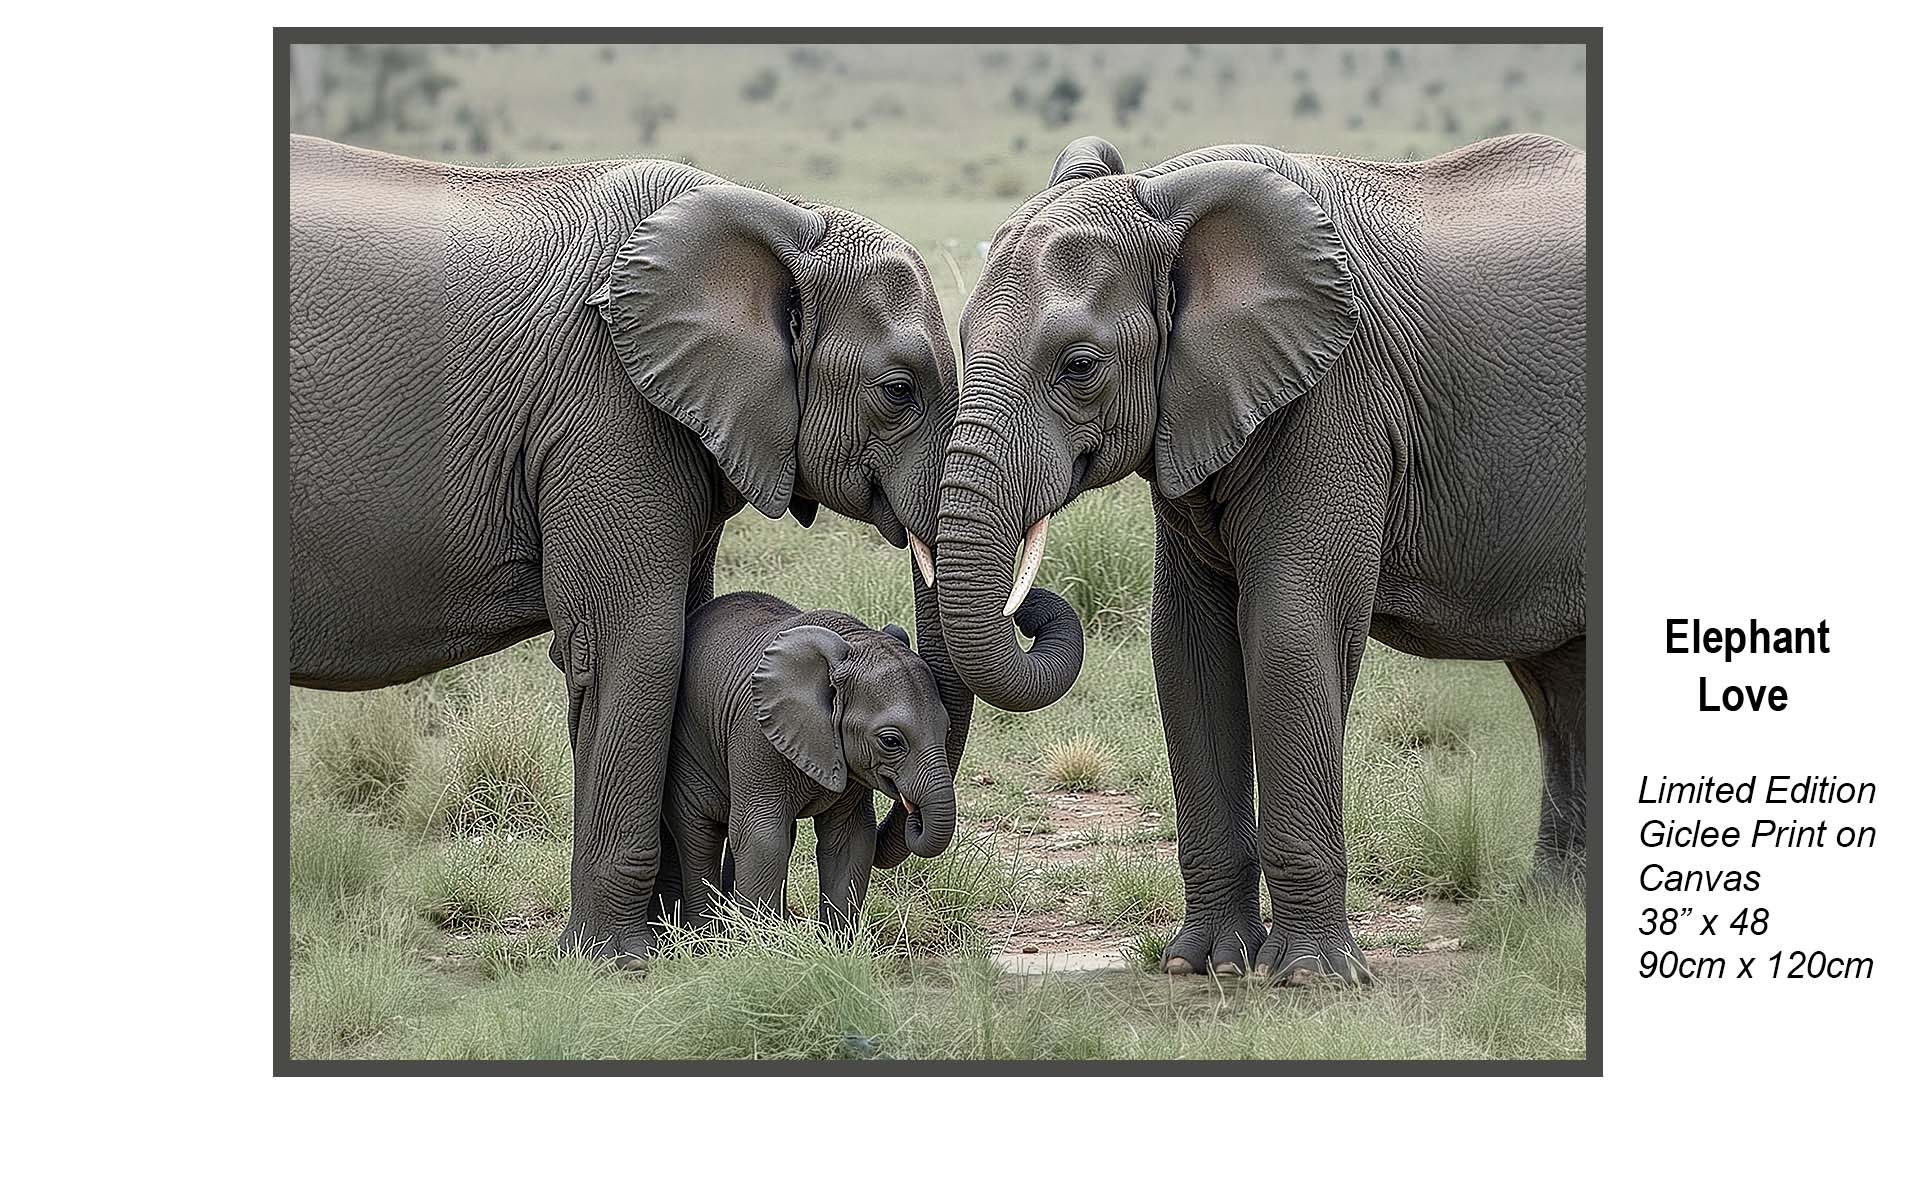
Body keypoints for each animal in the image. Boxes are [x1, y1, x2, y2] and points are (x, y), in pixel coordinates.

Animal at [656, 590, 986, 934]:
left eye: (947, 729)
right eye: (891, 741)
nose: (914, 816)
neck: (850, 644)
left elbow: (851, 839)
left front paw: (835, 943)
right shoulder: (756, 732)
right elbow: (762, 837)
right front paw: (766, 940)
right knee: (700, 832)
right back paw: (706, 936)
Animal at [935, 134, 1586, 984]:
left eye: (1079, 366)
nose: (1032, 603)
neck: (1165, 193)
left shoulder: (1335, 399)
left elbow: (1287, 631)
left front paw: (1306, 978)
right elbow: (1187, 647)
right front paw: (1201, 965)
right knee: (1557, 681)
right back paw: (1550, 911)